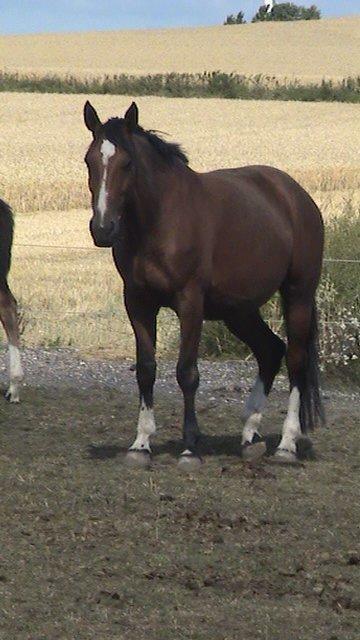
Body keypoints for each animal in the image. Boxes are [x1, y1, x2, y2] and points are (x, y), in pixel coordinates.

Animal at [83, 102, 324, 468]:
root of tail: (295, 195)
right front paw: (140, 445)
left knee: (295, 360)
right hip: (239, 310)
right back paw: (250, 437)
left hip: (298, 295)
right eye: (89, 161)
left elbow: (187, 372)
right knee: (270, 351)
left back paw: (286, 445)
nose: (103, 228)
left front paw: (189, 449)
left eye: (127, 163)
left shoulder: (190, 302)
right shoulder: (138, 302)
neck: (161, 220)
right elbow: (146, 369)